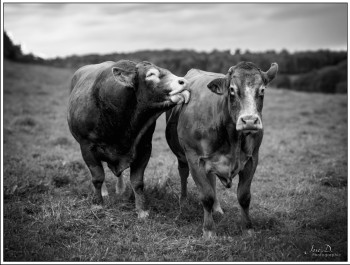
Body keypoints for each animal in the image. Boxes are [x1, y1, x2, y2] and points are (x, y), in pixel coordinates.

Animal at [67, 60, 190, 218]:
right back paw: (104, 192)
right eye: (151, 74)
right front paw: (97, 204)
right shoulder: (87, 146)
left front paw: (142, 210)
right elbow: (97, 177)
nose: (184, 81)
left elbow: (137, 182)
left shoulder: (144, 147)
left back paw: (120, 188)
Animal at [165, 61, 278, 237]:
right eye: (232, 90)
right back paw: (183, 201)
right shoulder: (195, 159)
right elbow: (206, 196)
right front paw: (209, 230)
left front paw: (248, 228)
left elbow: (244, 196)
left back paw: (217, 209)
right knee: (183, 173)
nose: (249, 121)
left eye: (262, 90)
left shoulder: (252, 159)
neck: (232, 138)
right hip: (182, 156)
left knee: (212, 180)